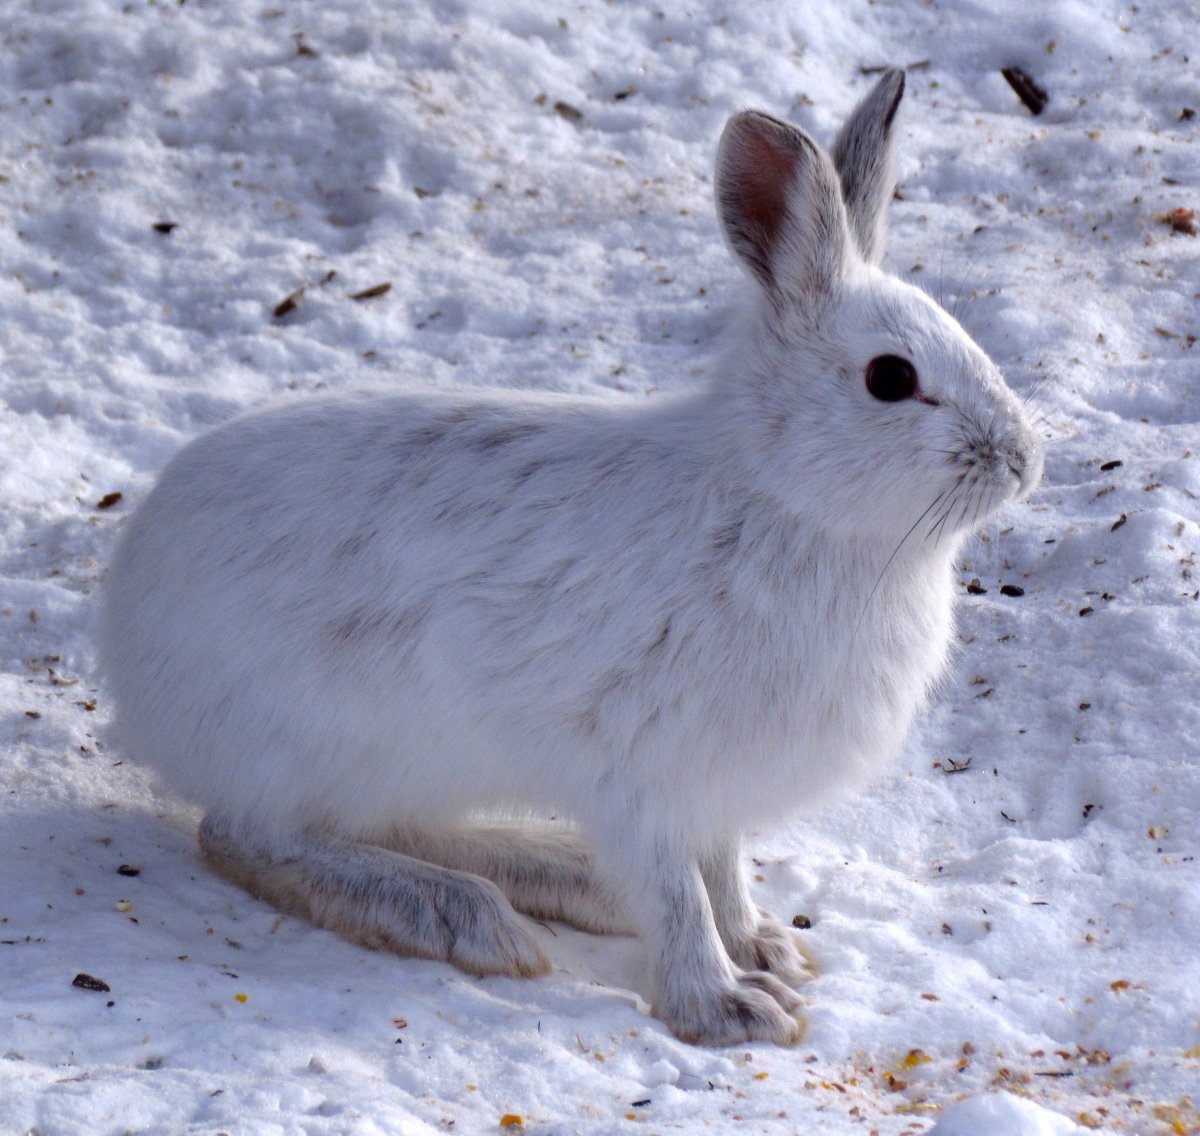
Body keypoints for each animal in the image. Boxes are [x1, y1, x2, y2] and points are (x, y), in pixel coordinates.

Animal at [99, 68, 1043, 1047]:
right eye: (891, 378)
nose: (1022, 459)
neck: (779, 498)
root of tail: (125, 638)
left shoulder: (710, 790)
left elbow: (722, 874)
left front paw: (765, 949)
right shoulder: (637, 770)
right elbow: (676, 896)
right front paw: (730, 1009)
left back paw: (556, 878)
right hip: (313, 738)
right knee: (249, 838)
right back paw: (460, 915)